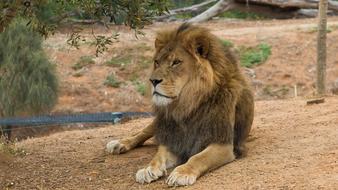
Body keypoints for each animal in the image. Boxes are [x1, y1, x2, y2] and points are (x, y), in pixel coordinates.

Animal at [105, 23, 254, 186]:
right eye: (157, 62)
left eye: (176, 62)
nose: (153, 81)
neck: (187, 105)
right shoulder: (173, 137)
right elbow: (158, 155)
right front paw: (148, 169)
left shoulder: (223, 143)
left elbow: (198, 158)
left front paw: (182, 173)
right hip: (160, 122)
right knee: (142, 132)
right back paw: (119, 144)